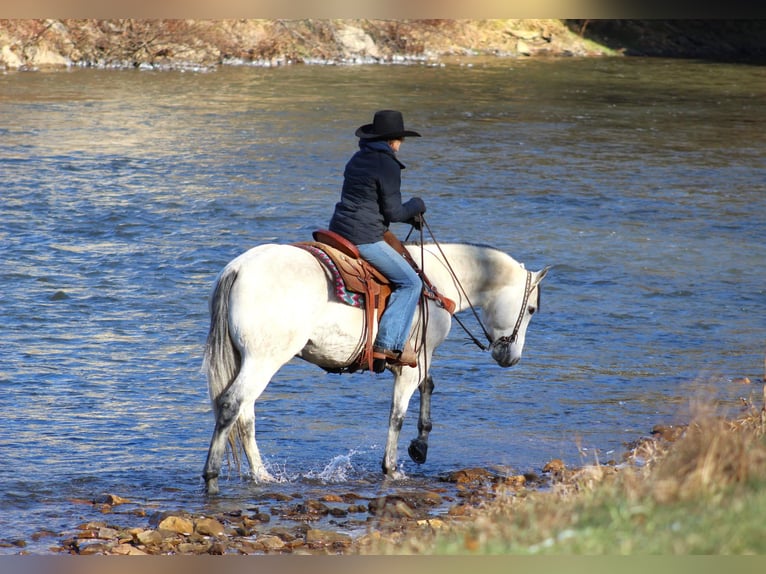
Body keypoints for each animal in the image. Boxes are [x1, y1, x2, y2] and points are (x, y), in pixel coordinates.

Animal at [202, 241, 552, 498]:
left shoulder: (420, 358)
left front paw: (420, 446)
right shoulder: (412, 366)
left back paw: (261, 475)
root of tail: (237, 269)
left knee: (245, 415)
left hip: (250, 360)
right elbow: (398, 415)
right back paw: (212, 477)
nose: (511, 357)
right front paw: (392, 467)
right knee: (233, 405)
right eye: (532, 309)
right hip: (264, 360)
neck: (437, 282)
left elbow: (429, 388)